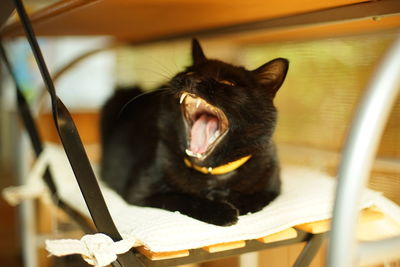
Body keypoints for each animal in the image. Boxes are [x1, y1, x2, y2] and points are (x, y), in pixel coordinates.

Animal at [99, 39, 288, 226]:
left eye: (228, 83)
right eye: (191, 71)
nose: (192, 78)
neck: (212, 174)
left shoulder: (272, 188)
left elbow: (252, 198)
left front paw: (226, 199)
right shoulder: (141, 191)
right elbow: (182, 198)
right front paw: (221, 211)